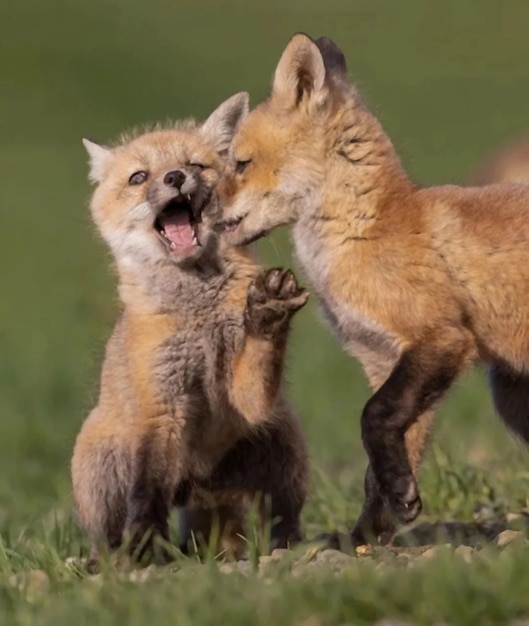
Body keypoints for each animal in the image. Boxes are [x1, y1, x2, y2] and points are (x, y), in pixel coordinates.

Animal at [216, 34, 529, 544]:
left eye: (241, 163)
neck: (365, 232)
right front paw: (368, 533)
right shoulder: (382, 358)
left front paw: (394, 505)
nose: (195, 204)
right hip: (511, 394)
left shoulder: (439, 339)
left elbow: (373, 418)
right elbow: (377, 463)